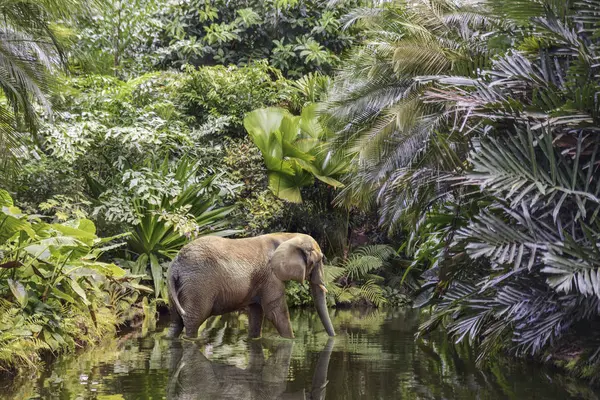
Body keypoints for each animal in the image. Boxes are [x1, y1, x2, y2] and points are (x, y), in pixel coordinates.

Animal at [166, 233, 336, 340]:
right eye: (318, 260)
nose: (333, 337)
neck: (288, 236)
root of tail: (175, 265)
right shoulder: (270, 275)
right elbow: (274, 311)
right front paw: (291, 340)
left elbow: (257, 312)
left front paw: (254, 339)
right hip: (197, 286)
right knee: (193, 320)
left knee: (176, 322)